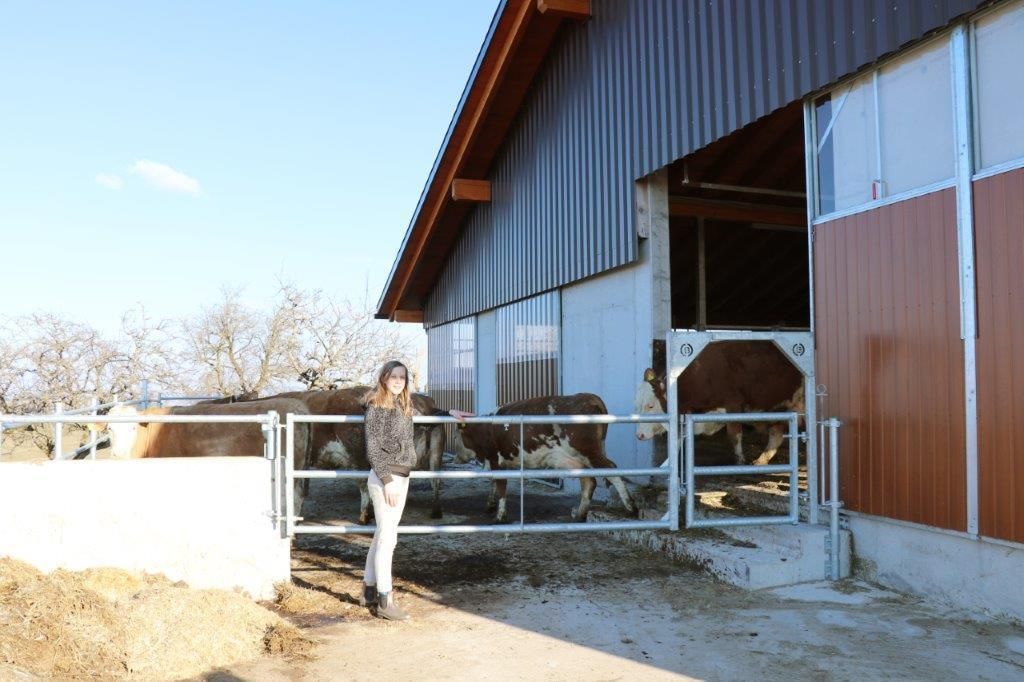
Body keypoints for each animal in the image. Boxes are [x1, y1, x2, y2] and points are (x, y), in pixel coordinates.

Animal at [250, 387, 447, 524]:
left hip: (360, 457)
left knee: (364, 484)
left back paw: (364, 516)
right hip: (436, 455)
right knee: (435, 480)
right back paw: (436, 511)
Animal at [451, 393, 636, 523]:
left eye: (456, 437)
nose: (455, 459)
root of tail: (589, 397)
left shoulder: (496, 458)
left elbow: (501, 487)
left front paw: (500, 516)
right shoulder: (498, 461)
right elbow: (493, 484)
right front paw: (490, 505)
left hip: (589, 451)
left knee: (611, 469)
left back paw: (631, 506)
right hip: (577, 459)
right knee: (589, 482)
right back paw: (579, 514)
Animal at [634, 340, 804, 465]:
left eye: (650, 405)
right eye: (637, 404)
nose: (639, 435)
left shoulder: (733, 405)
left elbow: (735, 435)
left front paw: (739, 460)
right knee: (776, 434)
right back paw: (760, 461)